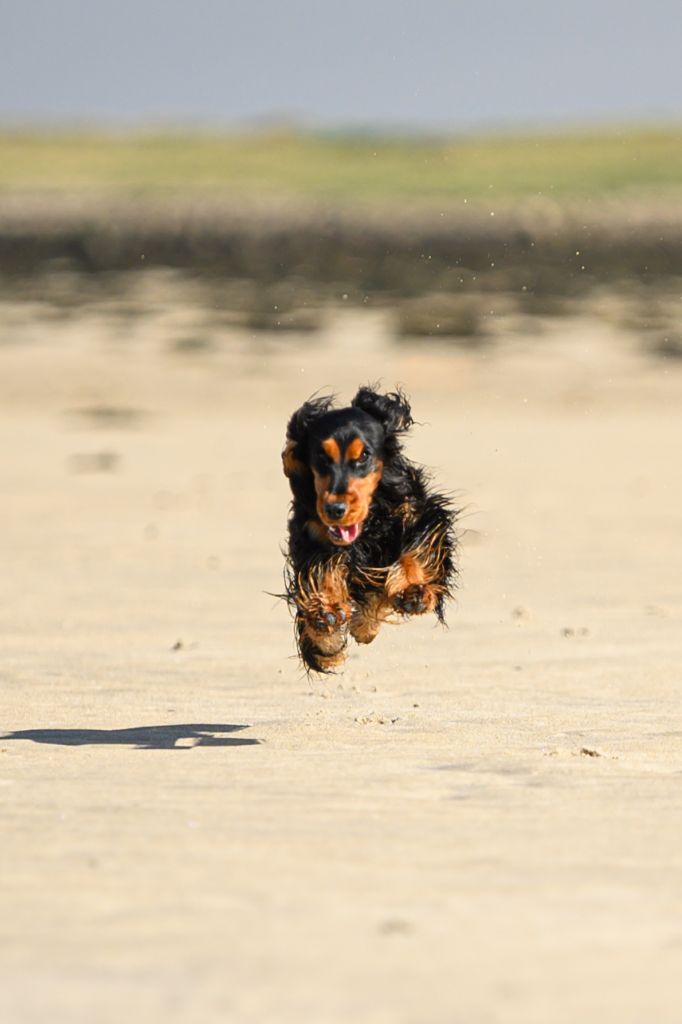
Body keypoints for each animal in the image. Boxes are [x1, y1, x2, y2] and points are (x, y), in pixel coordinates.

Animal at [280, 385, 456, 671]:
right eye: (321, 455)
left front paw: (413, 589)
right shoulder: (312, 534)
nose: (335, 509)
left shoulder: (416, 510)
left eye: (364, 455)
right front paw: (325, 617)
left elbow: (417, 548)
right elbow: (321, 570)